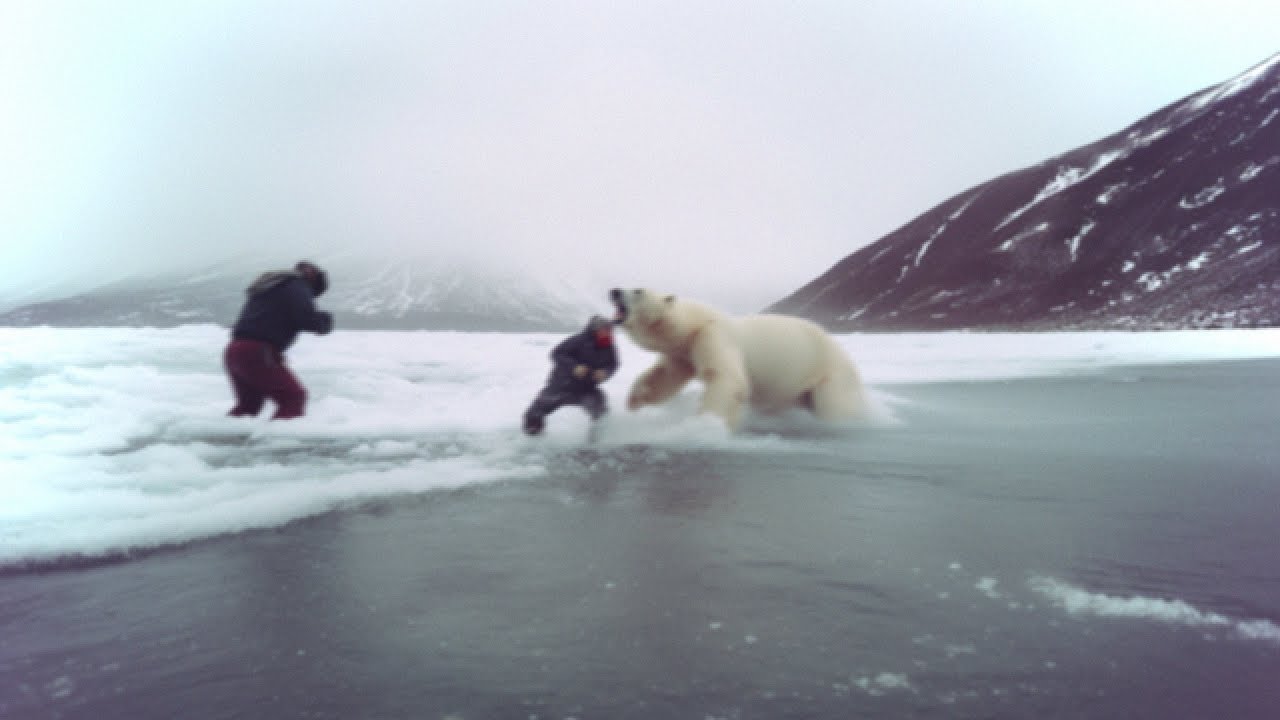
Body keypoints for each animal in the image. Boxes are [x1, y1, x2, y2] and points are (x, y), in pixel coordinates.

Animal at [609, 287, 866, 431]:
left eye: (638, 290)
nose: (614, 291)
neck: (695, 323)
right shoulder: (683, 352)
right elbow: (664, 377)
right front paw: (634, 401)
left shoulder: (715, 335)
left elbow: (726, 378)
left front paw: (704, 426)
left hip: (829, 374)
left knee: (834, 404)